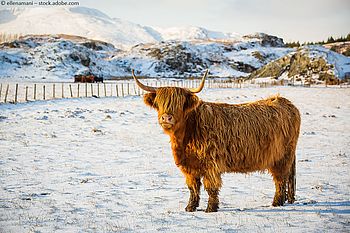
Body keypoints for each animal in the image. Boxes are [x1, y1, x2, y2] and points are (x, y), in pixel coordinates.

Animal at [133, 69, 302, 213]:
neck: (187, 135)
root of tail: (284, 101)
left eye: (179, 104)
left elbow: (211, 187)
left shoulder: (211, 164)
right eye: (160, 102)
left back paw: (276, 202)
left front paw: (210, 208)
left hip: (282, 156)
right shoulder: (189, 166)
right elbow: (193, 187)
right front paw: (190, 207)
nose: (166, 117)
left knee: (280, 179)